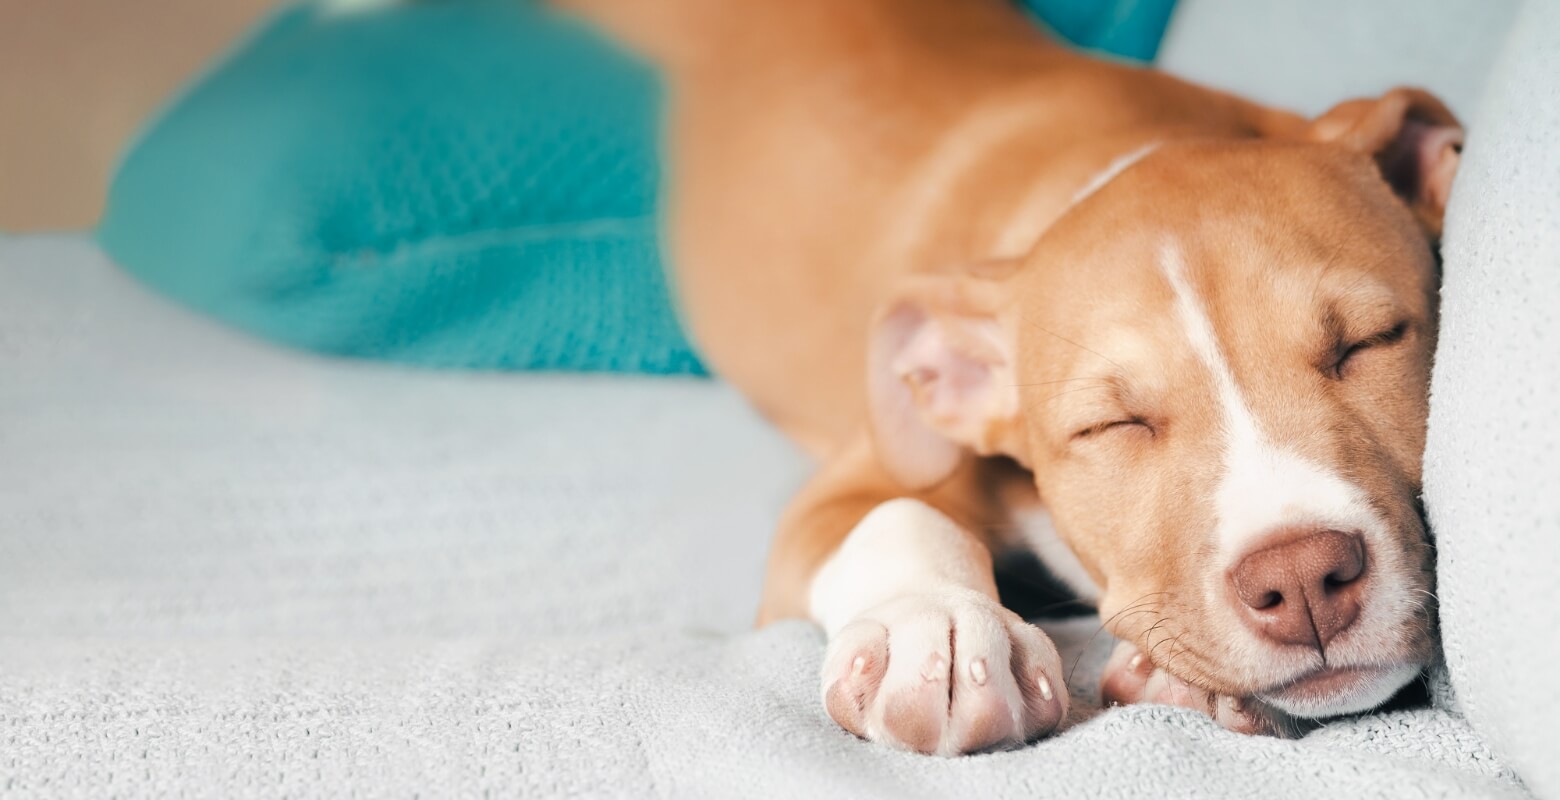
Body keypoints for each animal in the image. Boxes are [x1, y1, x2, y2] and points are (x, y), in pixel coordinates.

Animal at [570, 0, 1460, 751]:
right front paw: (935, 628)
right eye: (1113, 426)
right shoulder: (847, 483)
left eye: (1371, 343)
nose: (1302, 577)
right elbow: (899, 510)